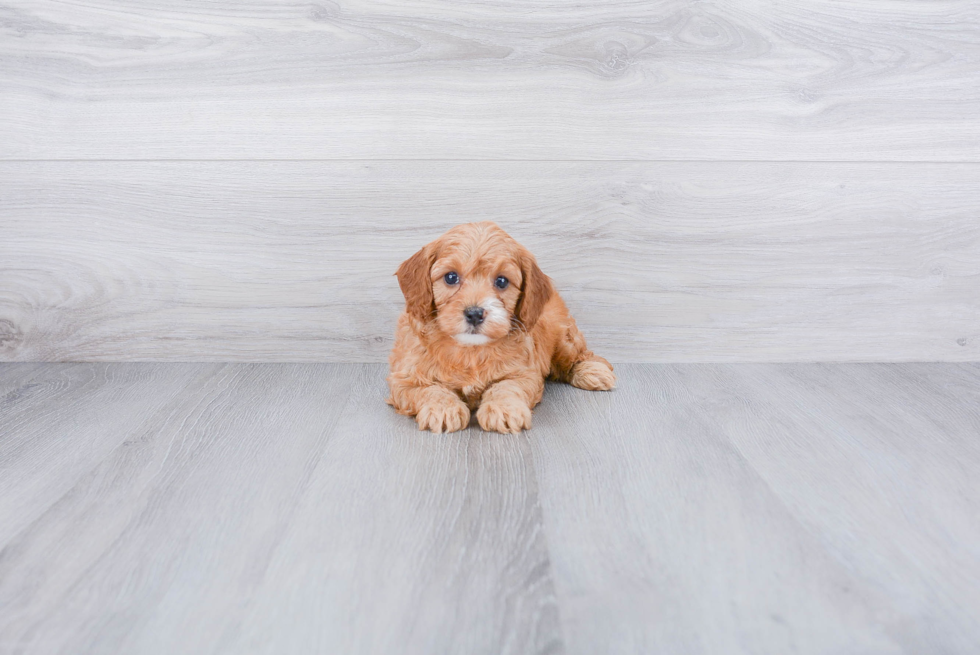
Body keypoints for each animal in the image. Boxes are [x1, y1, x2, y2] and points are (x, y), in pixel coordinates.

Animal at [384, 223, 608, 434]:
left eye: (501, 281)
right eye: (450, 277)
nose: (475, 313)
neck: (470, 350)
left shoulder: (524, 373)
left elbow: (506, 386)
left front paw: (504, 409)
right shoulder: (405, 379)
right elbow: (430, 389)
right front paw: (443, 408)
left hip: (563, 336)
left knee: (578, 353)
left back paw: (593, 371)